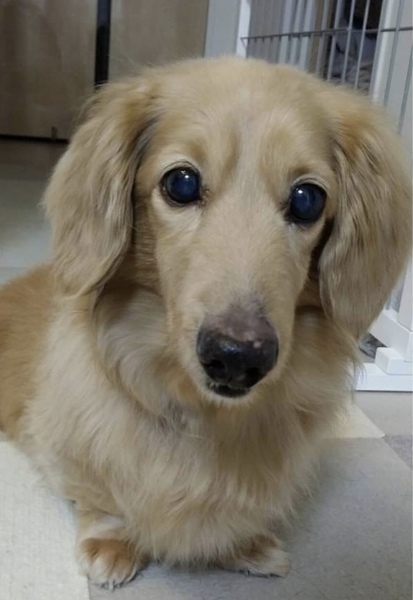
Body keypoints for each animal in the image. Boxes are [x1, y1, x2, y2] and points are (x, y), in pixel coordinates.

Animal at [0, 57, 411, 588]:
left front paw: (244, 543)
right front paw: (111, 541)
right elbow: (98, 493)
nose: (237, 358)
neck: (204, 413)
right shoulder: (66, 438)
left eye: (308, 199)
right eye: (182, 183)